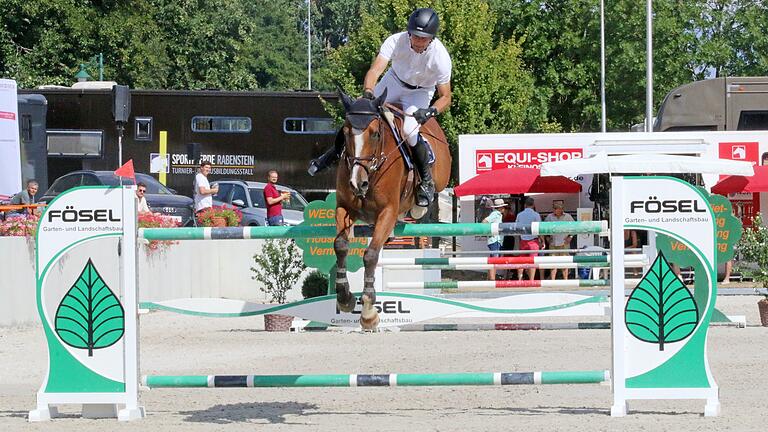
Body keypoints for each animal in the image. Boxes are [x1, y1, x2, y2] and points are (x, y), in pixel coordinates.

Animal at [334, 89, 450, 330]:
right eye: (345, 133)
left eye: (376, 134)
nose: (357, 183)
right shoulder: (344, 207)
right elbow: (340, 245)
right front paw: (344, 297)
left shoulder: (386, 212)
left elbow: (370, 255)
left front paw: (369, 311)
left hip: (440, 175)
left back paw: (422, 198)